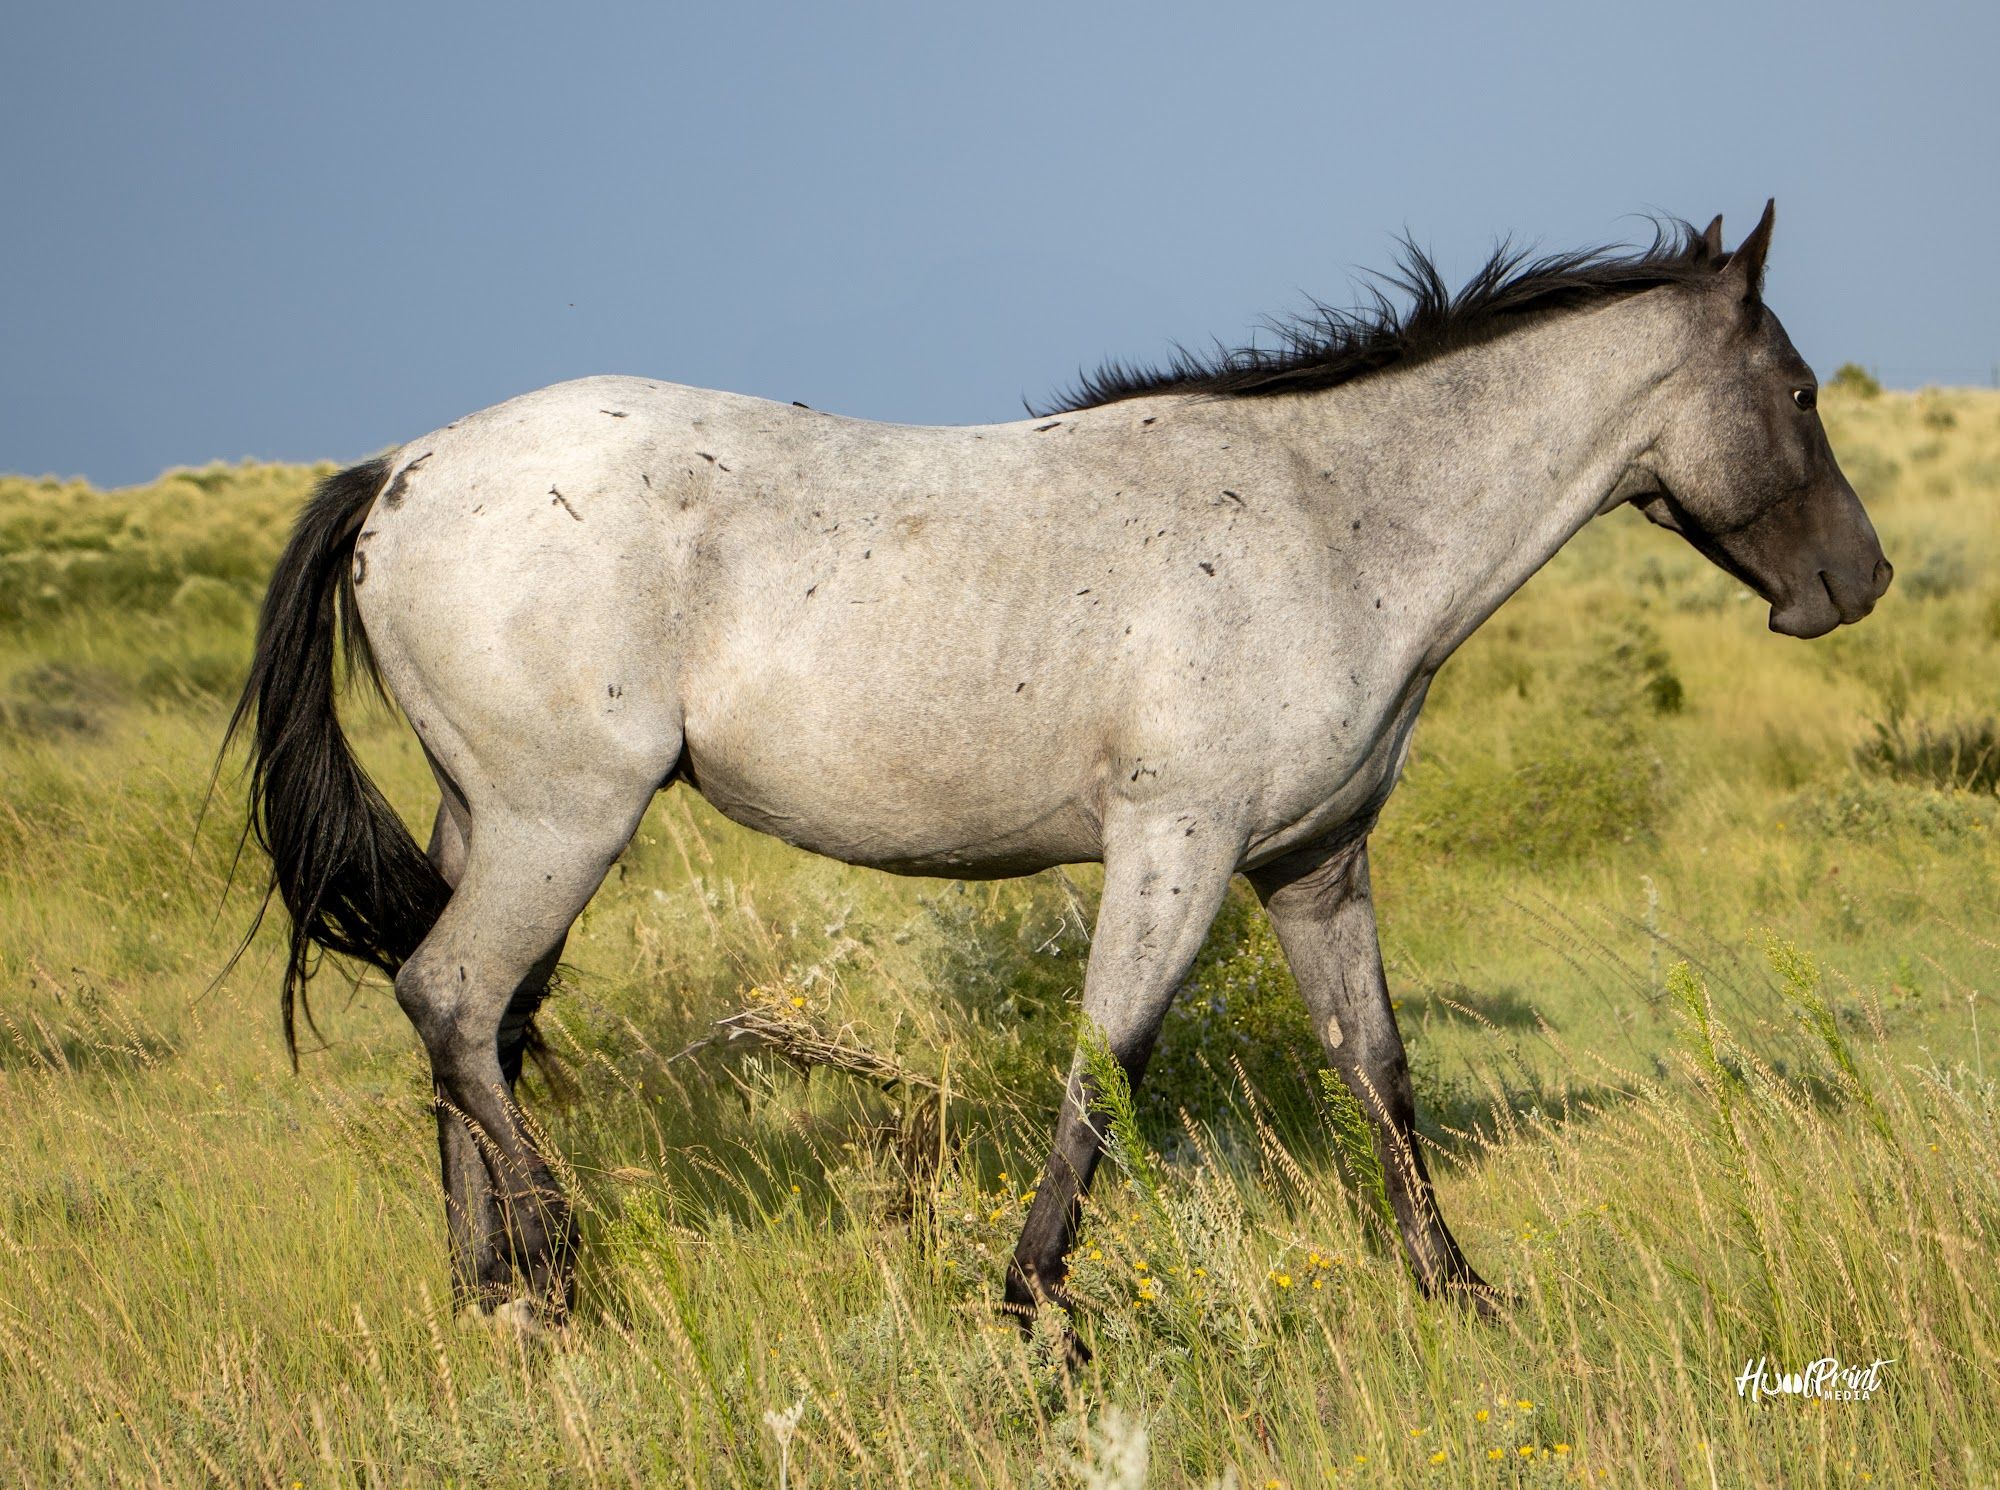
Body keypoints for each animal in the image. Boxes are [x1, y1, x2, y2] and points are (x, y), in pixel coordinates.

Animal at [229, 202, 1890, 1334]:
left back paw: (493, 1296)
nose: (1858, 580)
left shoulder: (1312, 866)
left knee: (480, 1030)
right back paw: (565, 1270)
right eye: (1803, 392)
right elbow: (1110, 1057)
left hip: (490, 822)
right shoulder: (1176, 844)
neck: (1332, 517)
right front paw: (1036, 1305)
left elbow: (1379, 1068)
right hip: (562, 821)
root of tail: (407, 468)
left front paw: (1459, 1286)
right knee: (454, 999)